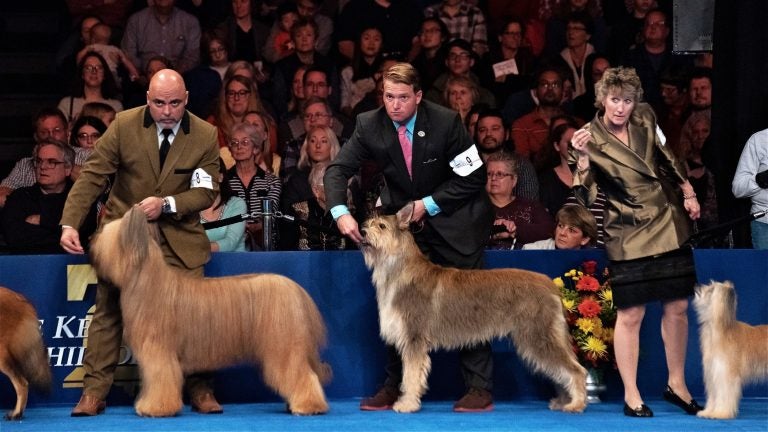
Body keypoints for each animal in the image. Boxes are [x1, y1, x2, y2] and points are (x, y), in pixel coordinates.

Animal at [90, 208, 330, 416]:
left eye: (106, 234)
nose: (91, 240)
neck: (148, 280)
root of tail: (296, 289)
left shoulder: (159, 352)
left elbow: (161, 380)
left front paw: (155, 408)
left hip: (283, 346)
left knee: (302, 375)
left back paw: (308, 405)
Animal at [360, 204, 588, 414]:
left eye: (381, 226)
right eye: (369, 223)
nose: (361, 233)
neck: (399, 267)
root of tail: (549, 284)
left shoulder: (414, 338)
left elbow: (411, 375)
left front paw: (407, 404)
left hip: (539, 335)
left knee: (575, 370)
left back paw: (576, 404)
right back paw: (563, 401)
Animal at [692, 280, 764, 418]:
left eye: (711, 289)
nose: (696, 285)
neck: (721, 330)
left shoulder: (724, 373)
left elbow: (724, 394)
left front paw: (720, 413)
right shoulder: (713, 372)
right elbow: (714, 396)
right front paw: (708, 411)